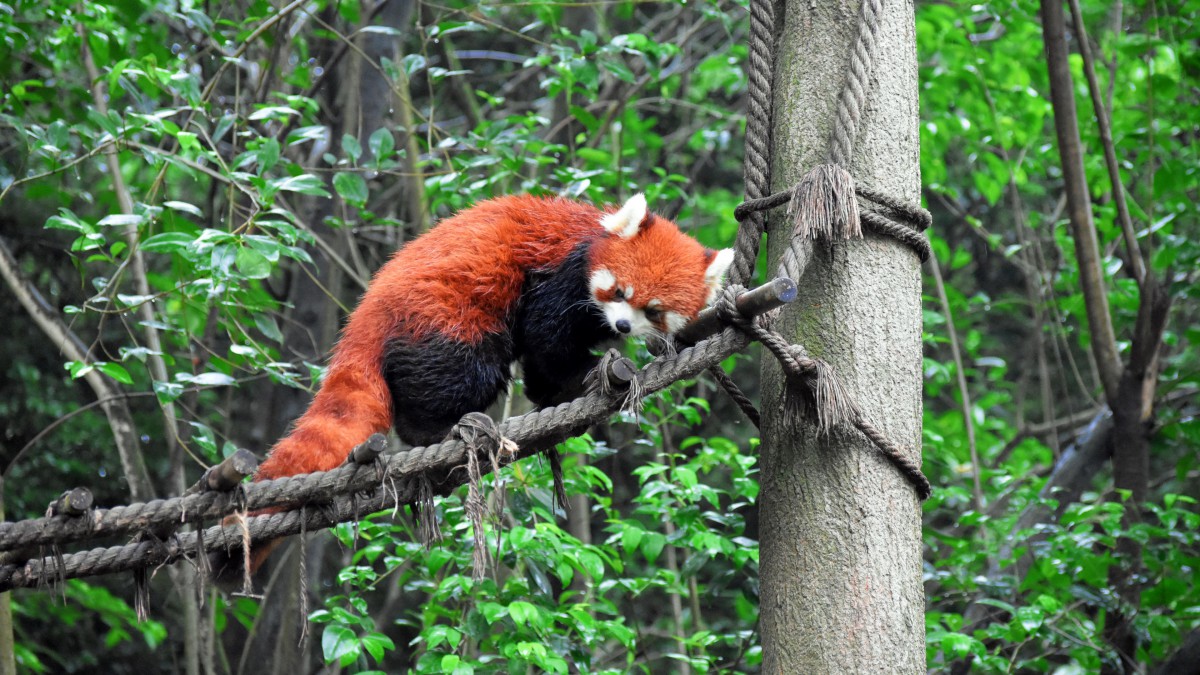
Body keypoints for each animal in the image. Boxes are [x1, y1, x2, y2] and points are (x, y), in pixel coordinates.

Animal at [218, 192, 729, 581]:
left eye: (653, 310)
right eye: (619, 292)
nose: (622, 326)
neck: (588, 236)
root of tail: (368, 311)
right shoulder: (556, 277)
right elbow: (547, 341)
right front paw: (575, 379)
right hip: (450, 317)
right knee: (462, 369)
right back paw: (437, 430)